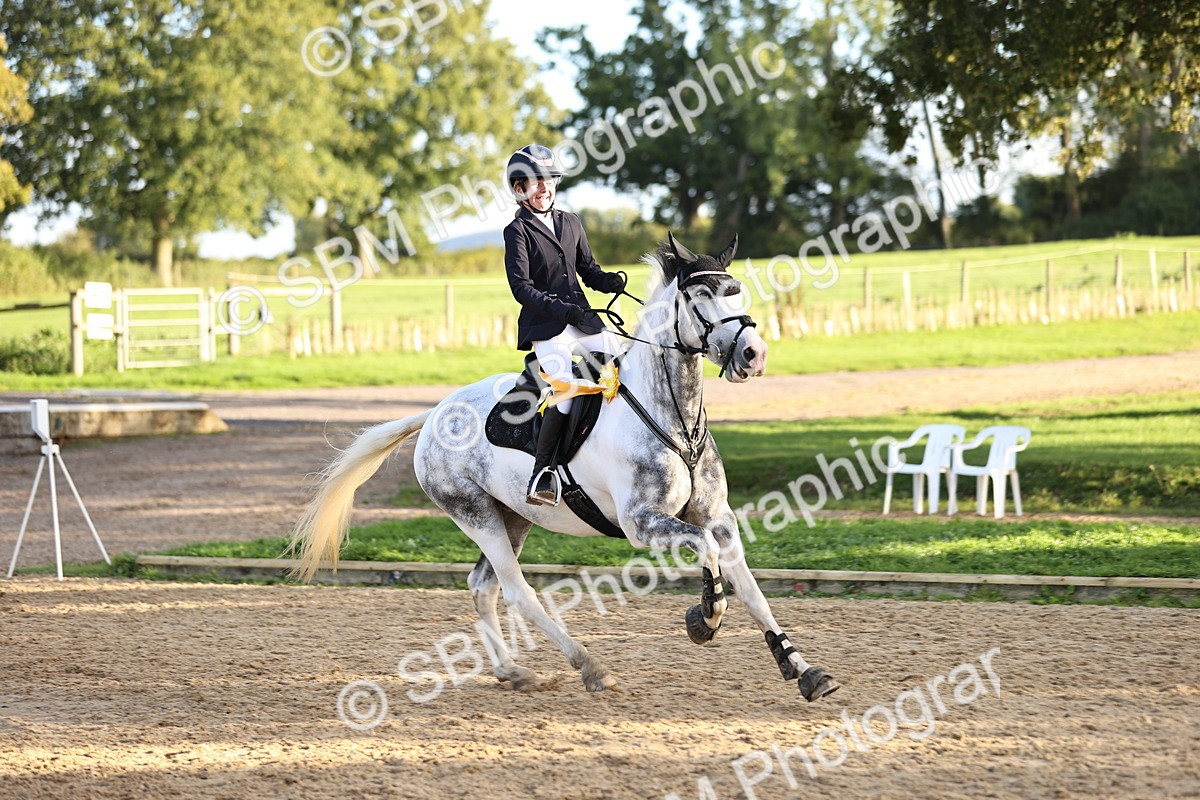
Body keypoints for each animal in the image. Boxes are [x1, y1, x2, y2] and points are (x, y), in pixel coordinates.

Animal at [290, 233, 840, 703]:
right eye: (701, 294)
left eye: (737, 291)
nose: (753, 354)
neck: (673, 415)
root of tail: (434, 414)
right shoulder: (643, 524)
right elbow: (707, 556)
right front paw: (704, 619)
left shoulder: (718, 517)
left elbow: (750, 586)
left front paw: (802, 670)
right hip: (474, 513)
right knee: (517, 591)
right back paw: (591, 667)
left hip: (512, 516)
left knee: (483, 586)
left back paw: (512, 671)